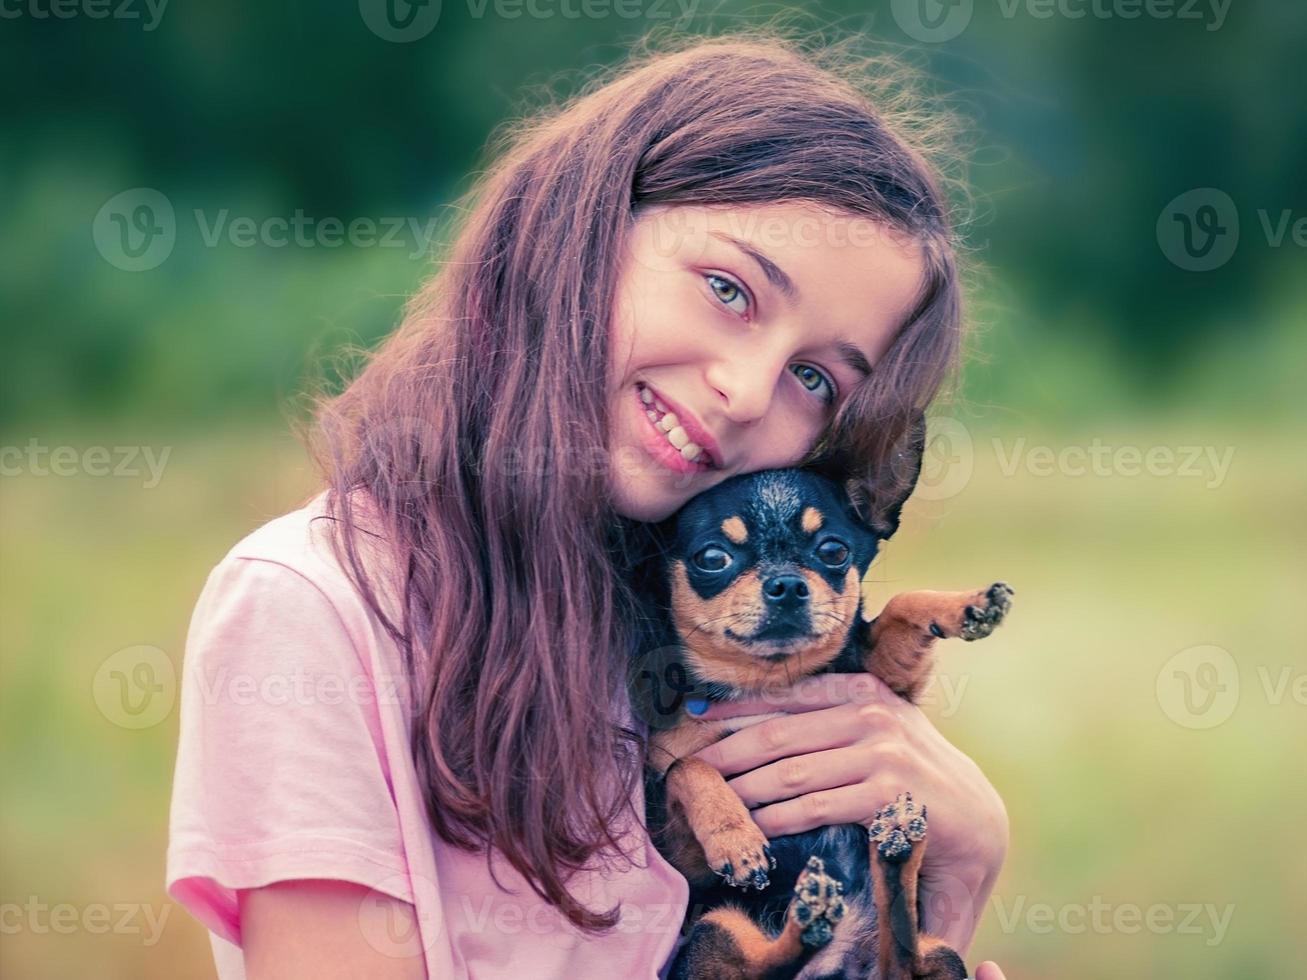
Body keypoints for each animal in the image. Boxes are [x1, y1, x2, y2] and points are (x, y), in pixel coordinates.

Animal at [627, 436, 1014, 980]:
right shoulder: (682, 854)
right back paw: (818, 909)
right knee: (772, 964)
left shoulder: (884, 677)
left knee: (902, 957)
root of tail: (836, 970)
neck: (767, 684)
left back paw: (896, 850)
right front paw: (736, 839)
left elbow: (900, 608)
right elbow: (688, 766)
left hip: (941, 956)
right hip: (713, 929)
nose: (787, 584)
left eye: (833, 551)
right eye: (712, 558)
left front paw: (969, 606)